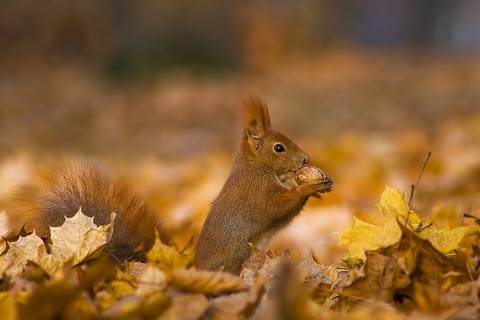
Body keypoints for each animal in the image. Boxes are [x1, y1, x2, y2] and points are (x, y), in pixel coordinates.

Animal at [194, 95, 330, 276]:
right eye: (279, 147)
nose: (305, 159)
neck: (257, 165)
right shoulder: (258, 186)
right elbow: (274, 208)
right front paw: (308, 188)